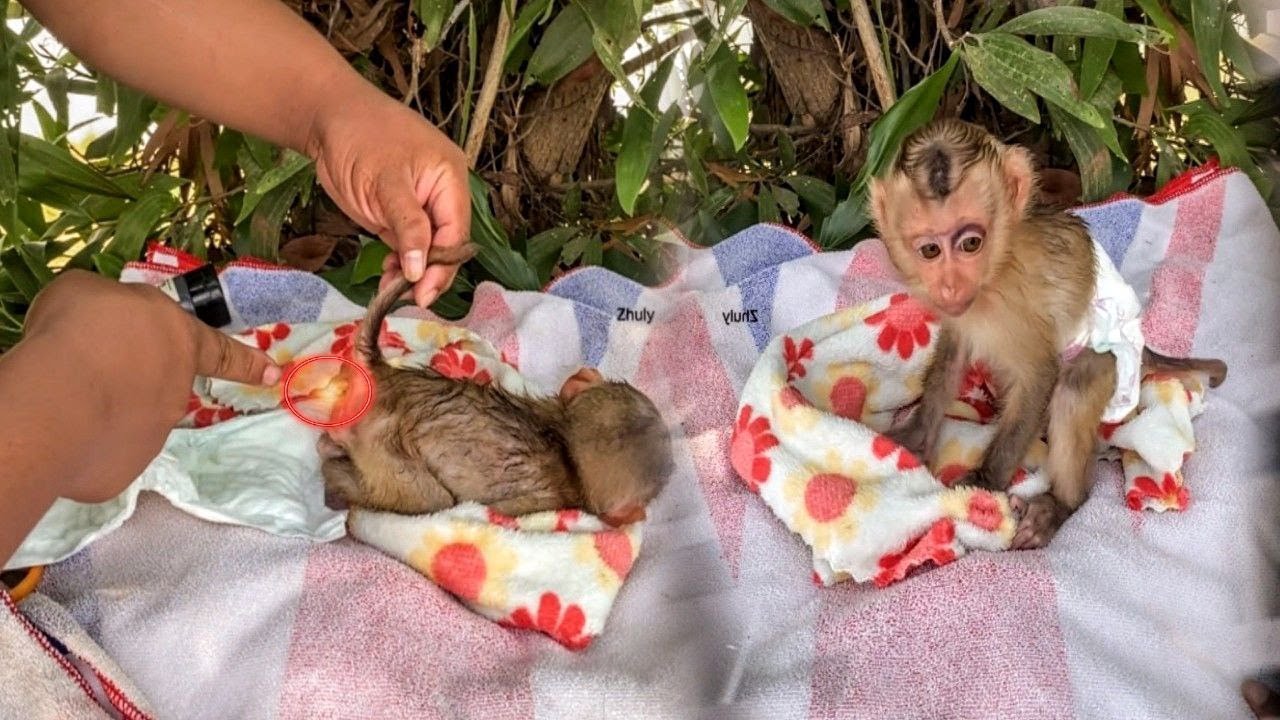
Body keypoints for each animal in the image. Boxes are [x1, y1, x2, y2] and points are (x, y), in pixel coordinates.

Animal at [869, 118, 1227, 550]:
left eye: (971, 243)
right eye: (930, 251)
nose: (951, 287)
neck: (995, 271)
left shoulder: (1017, 307)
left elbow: (1040, 374)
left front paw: (981, 487)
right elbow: (954, 353)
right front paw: (918, 434)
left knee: (1073, 388)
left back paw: (1061, 504)